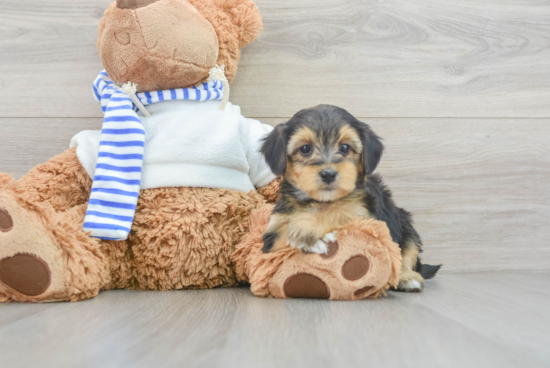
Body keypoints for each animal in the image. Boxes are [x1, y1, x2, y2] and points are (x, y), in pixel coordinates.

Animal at [260, 105, 442, 292]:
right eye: (305, 149)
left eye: (345, 147)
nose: (328, 174)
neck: (320, 200)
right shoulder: (274, 230)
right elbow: (280, 237)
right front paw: (310, 239)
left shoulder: (365, 215)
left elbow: (338, 210)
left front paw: (306, 228)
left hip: (405, 223)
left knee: (408, 252)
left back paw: (407, 278)